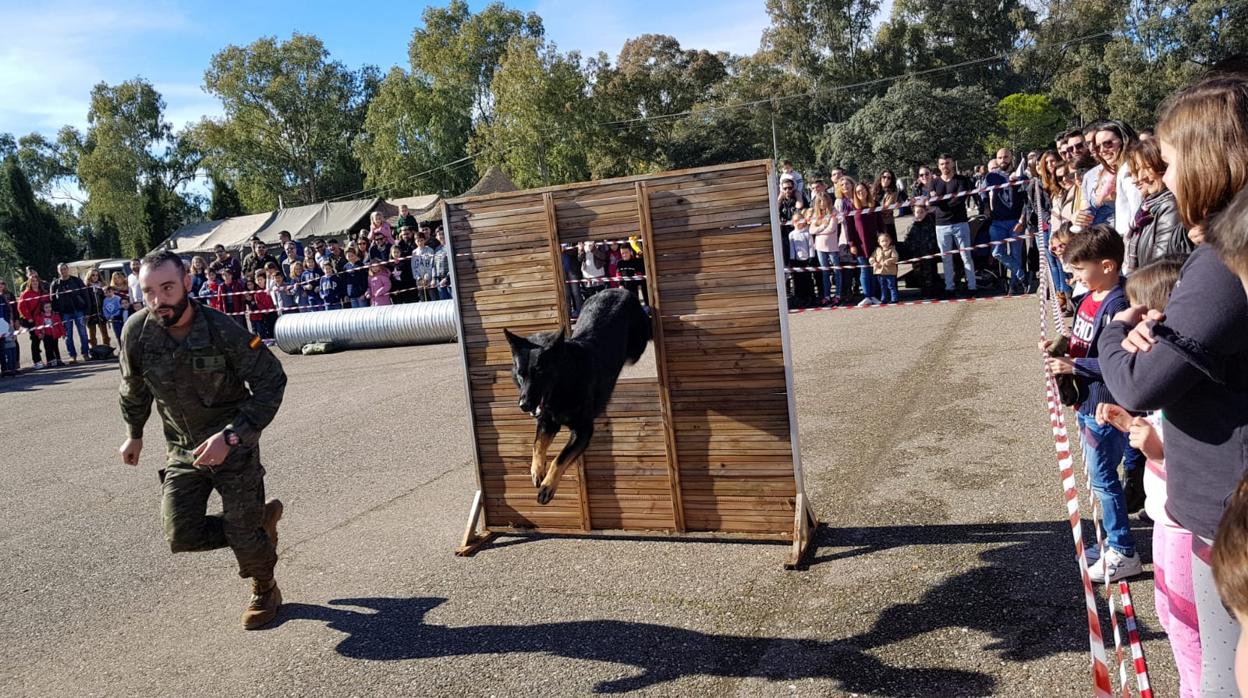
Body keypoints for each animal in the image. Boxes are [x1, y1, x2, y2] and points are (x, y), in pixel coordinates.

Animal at [501, 287, 653, 504]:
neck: (564, 385)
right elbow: (537, 444)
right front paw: (537, 471)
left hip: (636, 348)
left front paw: (547, 486)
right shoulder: (548, 422)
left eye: (540, 372)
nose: (524, 405)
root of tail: (617, 289)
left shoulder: (583, 430)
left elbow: (560, 458)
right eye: (521, 374)